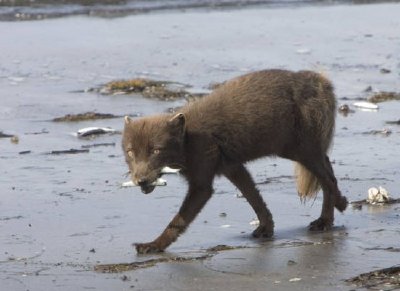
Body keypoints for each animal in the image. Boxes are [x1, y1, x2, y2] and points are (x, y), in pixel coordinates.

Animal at [122, 69, 346, 254]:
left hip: (299, 150)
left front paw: (153, 245)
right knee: (328, 167)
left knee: (328, 179)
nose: (140, 180)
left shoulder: (202, 186)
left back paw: (326, 220)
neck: (188, 140)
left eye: (156, 151)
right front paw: (266, 229)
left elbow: (178, 221)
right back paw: (340, 203)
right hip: (300, 150)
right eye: (131, 152)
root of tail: (321, 81)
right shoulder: (233, 167)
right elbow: (254, 197)